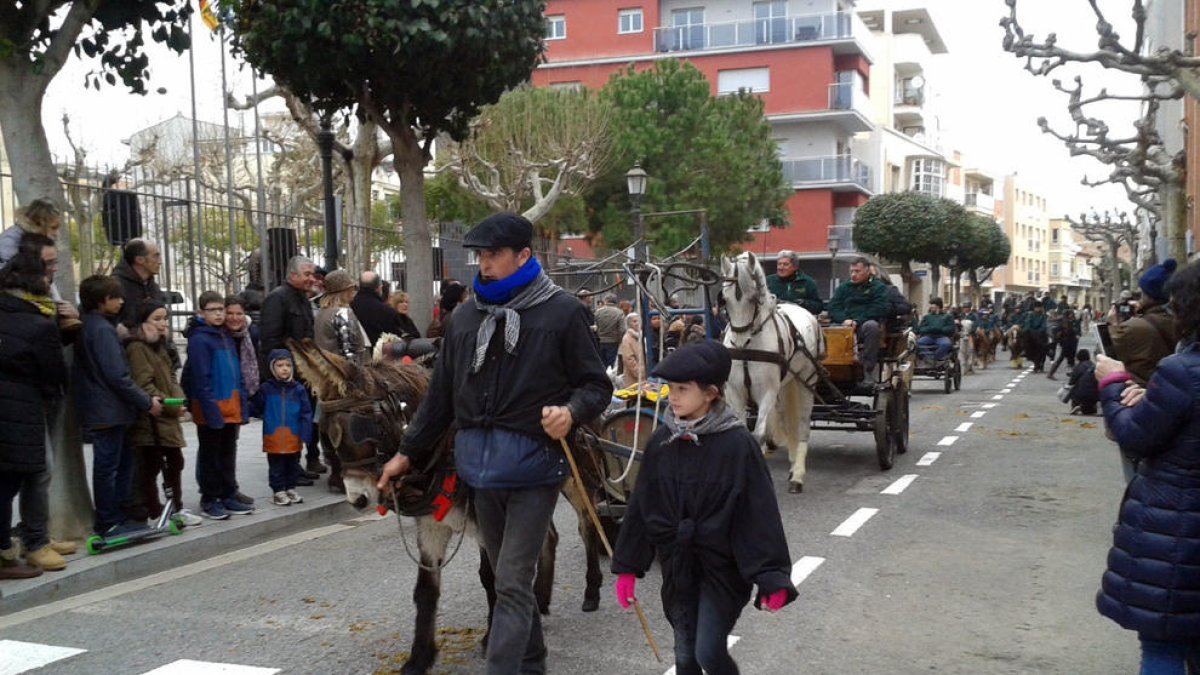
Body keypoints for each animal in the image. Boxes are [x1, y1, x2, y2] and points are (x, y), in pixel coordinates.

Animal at [720, 251, 825, 487]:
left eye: (753, 299)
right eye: (724, 300)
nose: (739, 342)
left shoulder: (766, 392)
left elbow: (758, 434)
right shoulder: (735, 392)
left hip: (807, 380)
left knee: (802, 423)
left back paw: (797, 476)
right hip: (786, 384)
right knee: (787, 420)